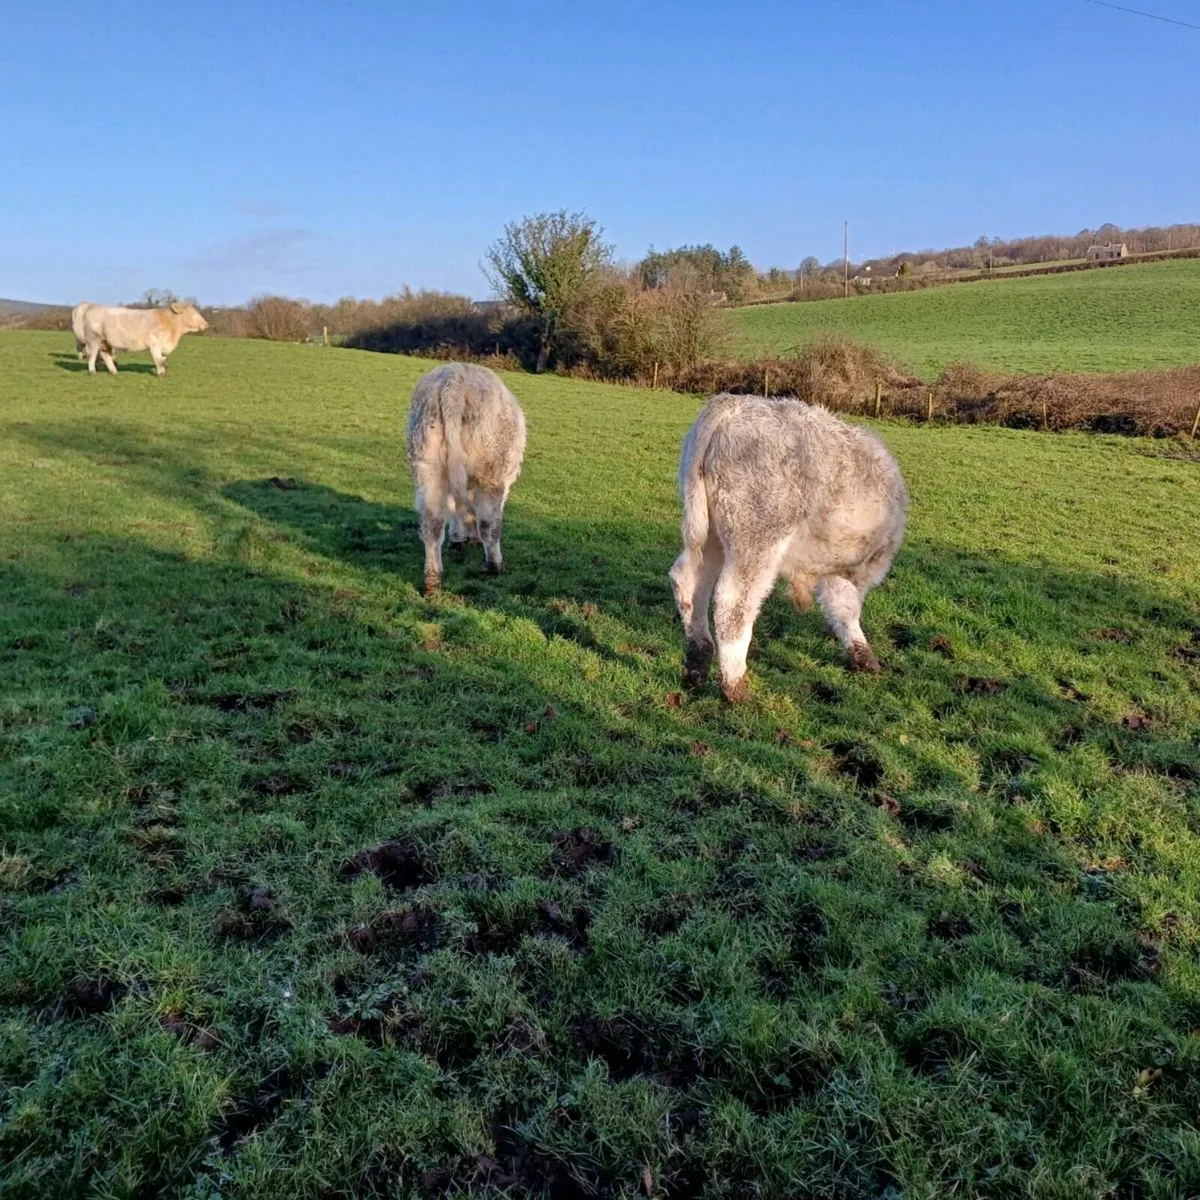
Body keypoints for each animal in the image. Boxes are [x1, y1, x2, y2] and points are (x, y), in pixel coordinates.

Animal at [406, 363, 526, 594]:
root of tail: (454, 381)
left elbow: (454, 510)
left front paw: (458, 539)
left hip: (427, 466)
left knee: (432, 523)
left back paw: (433, 580)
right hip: (492, 474)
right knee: (489, 523)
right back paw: (495, 566)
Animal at [669, 394, 908, 702]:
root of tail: (732, 404)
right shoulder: (842, 571)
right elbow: (846, 608)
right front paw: (863, 656)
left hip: (711, 538)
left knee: (689, 584)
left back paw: (697, 663)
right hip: (757, 540)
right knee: (733, 604)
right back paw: (735, 687)